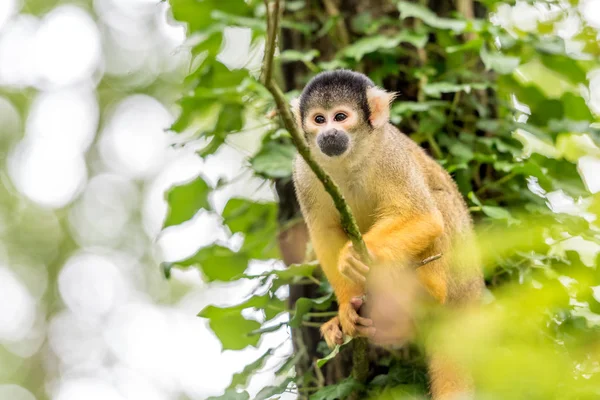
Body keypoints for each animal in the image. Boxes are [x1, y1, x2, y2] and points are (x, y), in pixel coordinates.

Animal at [290, 70, 482, 398]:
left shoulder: (389, 154)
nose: (329, 134)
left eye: (340, 117)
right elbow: (324, 234)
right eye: (319, 119)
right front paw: (346, 308)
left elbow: (422, 215)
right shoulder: (304, 170)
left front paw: (359, 255)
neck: (349, 159)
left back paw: (428, 290)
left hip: (462, 275)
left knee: (438, 202)